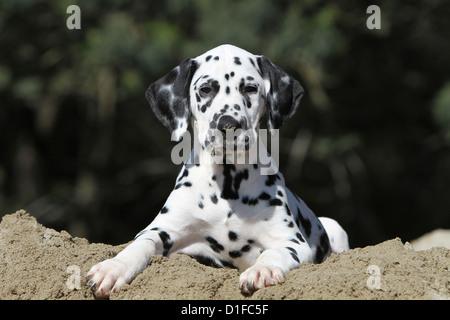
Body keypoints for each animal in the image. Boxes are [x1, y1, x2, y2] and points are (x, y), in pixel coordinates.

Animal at [87, 44, 348, 298]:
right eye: (205, 89)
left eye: (250, 88)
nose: (228, 125)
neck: (227, 184)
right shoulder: (163, 230)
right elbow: (141, 244)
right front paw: (113, 268)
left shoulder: (292, 241)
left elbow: (274, 253)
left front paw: (262, 270)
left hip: (334, 226)